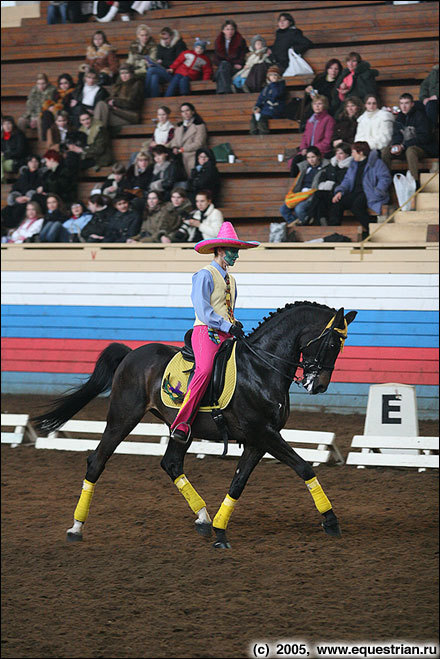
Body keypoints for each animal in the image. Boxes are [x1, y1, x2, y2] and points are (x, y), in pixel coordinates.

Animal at [33, 302, 358, 548]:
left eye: (341, 346)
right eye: (332, 342)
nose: (318, 385)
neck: (261, 368)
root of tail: (131, 354)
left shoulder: (258, 440)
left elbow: (238, 483)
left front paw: (220, 531)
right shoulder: (264, 434)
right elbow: (304, 467)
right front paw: (331, 521)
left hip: (181, 429)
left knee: (171, 464)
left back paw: (202, 518)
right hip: (122, 418)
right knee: (97, 461)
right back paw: (76, 528)